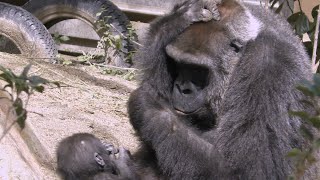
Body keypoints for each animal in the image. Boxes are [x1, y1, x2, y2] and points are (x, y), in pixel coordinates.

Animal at [128, 0, 318, 178]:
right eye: (177, 63)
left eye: (198, 70)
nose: (181, 88)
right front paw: (180, 17)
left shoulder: (268, 69)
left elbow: (249, 170)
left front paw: (149, 106)